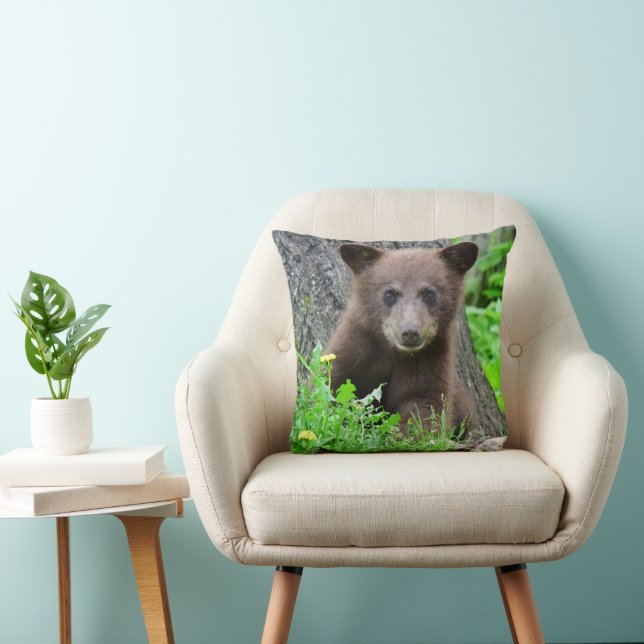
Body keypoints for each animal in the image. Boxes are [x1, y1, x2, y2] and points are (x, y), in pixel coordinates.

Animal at [325, 241, 479, 433]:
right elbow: (333, 385)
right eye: (389, 293)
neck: (393, 351)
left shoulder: (430, 359)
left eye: (429, 294)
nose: (410, 332)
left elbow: (424, 405)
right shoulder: (355, 347)